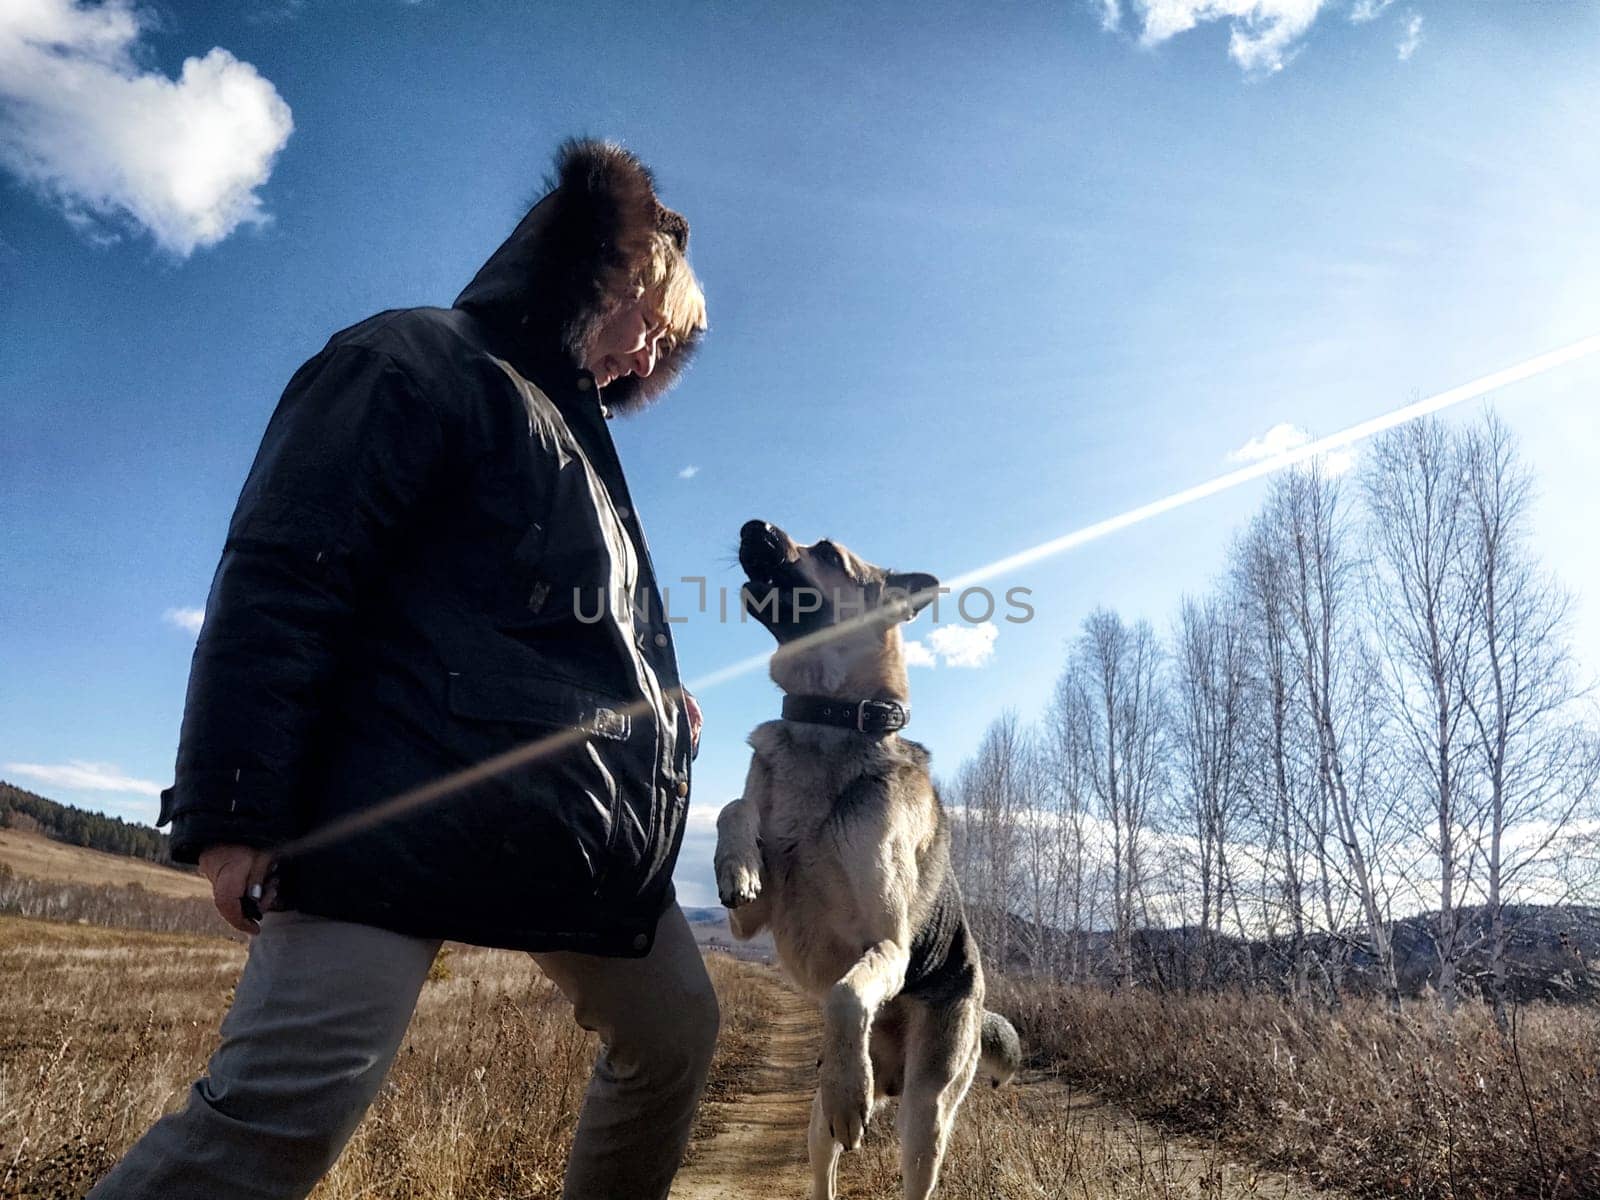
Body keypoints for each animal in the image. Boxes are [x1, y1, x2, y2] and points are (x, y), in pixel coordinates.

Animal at [716, 524, 1017, 1200]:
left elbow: (846, 995)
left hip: (926, 1116)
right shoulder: (752, 920)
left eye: (830, 553)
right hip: (814, 1125)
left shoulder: (889, 945)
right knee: (823, 1162)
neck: (828, 724)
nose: (751, 528)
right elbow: (734, 808)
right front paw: (736, 864)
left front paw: (851, 1090)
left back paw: (856, 1089)